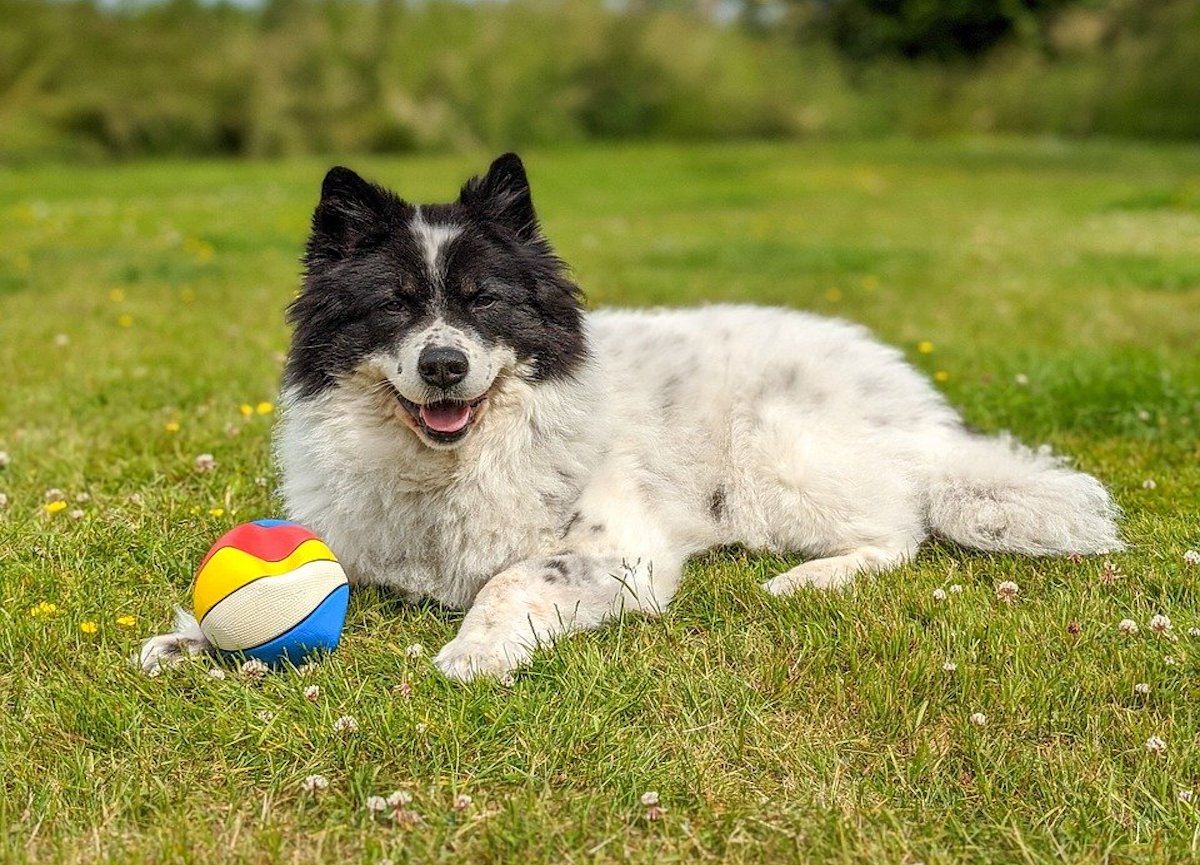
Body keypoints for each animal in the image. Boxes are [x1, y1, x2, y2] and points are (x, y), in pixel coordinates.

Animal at [140, 154, 1123, 681]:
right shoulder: (358, 542)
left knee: (900, 530)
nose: (443, 365)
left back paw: (804, 581)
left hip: (775, 456)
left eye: (483, 300)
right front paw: (191, 639)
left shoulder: (617, 554)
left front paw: (475, 651)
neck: (455, 464)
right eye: (395, 306)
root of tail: (921, 410)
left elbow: (512, 580)